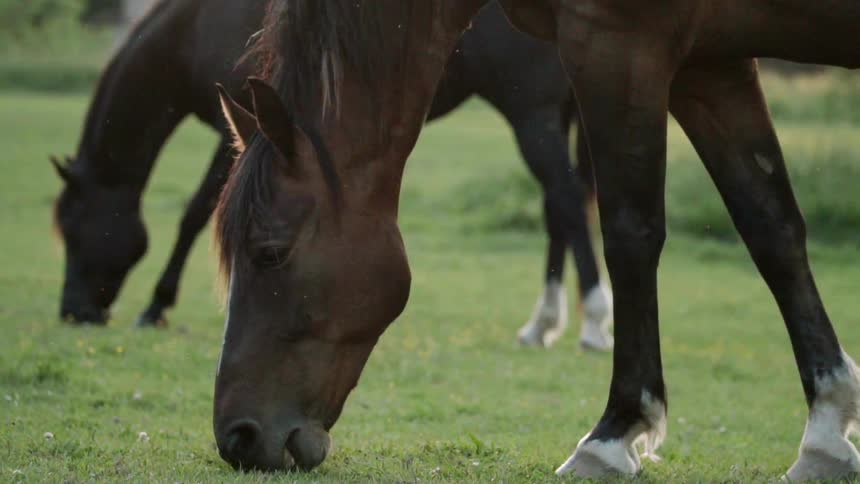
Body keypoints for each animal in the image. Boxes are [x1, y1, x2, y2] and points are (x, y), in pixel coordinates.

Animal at [51, 0, 612, 351]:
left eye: (74, 233)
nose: (74, 311)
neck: (196, 26)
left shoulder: (244, 135)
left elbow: (195, 214)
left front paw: (156, 305)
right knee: (560, 206)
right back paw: (542, 324)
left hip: (532, 115)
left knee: (565, 200)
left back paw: (593, 320)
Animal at [212, 0, 860, 478]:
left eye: (269, 253)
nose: (237, 436)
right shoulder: (712, 61)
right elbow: (770, 227)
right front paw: (826, 431)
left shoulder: (619, 45)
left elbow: (629, 233)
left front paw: (613, 433)